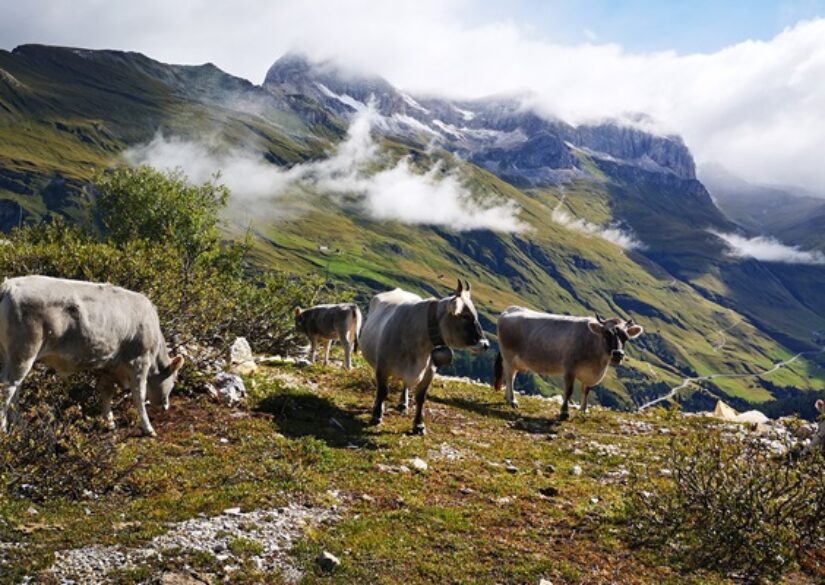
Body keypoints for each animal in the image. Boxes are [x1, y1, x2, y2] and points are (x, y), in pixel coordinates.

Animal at [0, 276, 183, 436]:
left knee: (15, 390)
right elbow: (139, 395)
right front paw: (148, 428)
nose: (166, 406)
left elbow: (106, 392)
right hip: (23, 354)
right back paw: (4, 430)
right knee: (8, 388)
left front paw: (109, 422)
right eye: (174, 380)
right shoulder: (139, 362)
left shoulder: (109, 366)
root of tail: (8, 285)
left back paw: (19, 425)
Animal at [360, 278, 490, 434]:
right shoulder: (382, 367)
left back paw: (403, 403)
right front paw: (377, 415)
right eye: (465, 316)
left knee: (406, 385)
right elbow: (382, 392)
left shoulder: (429, 372)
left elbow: (420, 398)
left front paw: (419, 425)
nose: (485, 344)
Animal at [492, 308, 640, 418]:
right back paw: (512, 400)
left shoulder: (588, 373)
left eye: (626, 337)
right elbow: (568, 391)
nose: (618, 354)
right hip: (509, 355)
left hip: (517, 361)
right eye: (607, 333)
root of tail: (510, 309)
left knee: (510, 375)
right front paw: (564, 412)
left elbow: (586, 390)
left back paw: (507, 397)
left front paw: (584, 410)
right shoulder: (569, 368)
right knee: (510, 377)